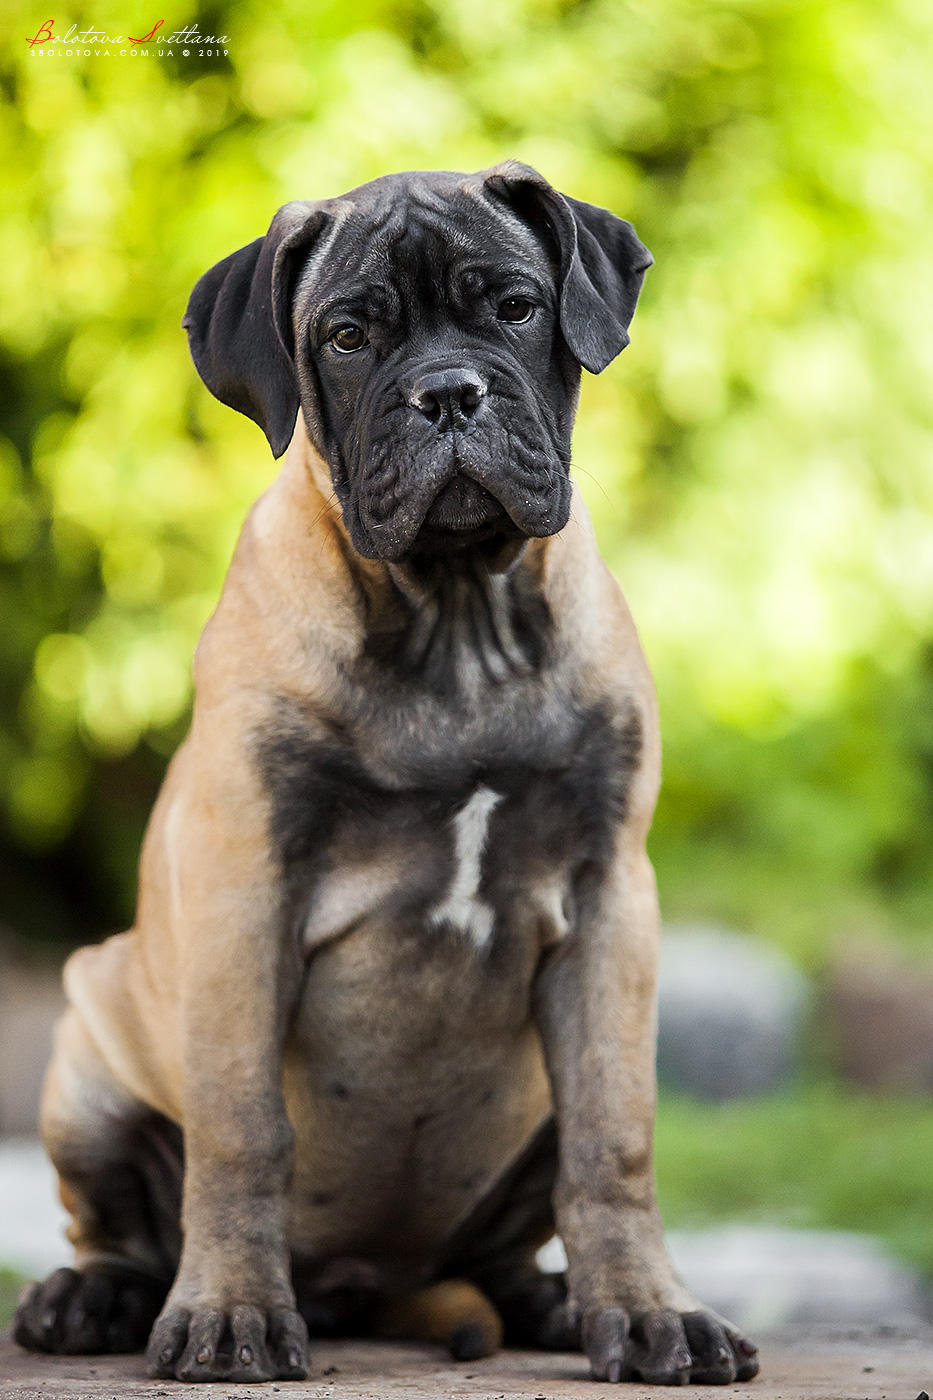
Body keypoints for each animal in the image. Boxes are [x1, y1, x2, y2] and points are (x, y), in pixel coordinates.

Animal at [12, 158, 756, 1383]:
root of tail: (371, 1286)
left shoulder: (611, 905)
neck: (452, 618)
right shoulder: (244, 895)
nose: (449, 393)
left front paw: (652, 1312)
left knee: (523, 1223)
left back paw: (558, 1302)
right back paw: (93, 1299)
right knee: (117, 1223)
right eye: (349, 336)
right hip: (88, 1039)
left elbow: (614, 1138)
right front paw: (228, 1313)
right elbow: (240, 1131)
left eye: (516, 306)